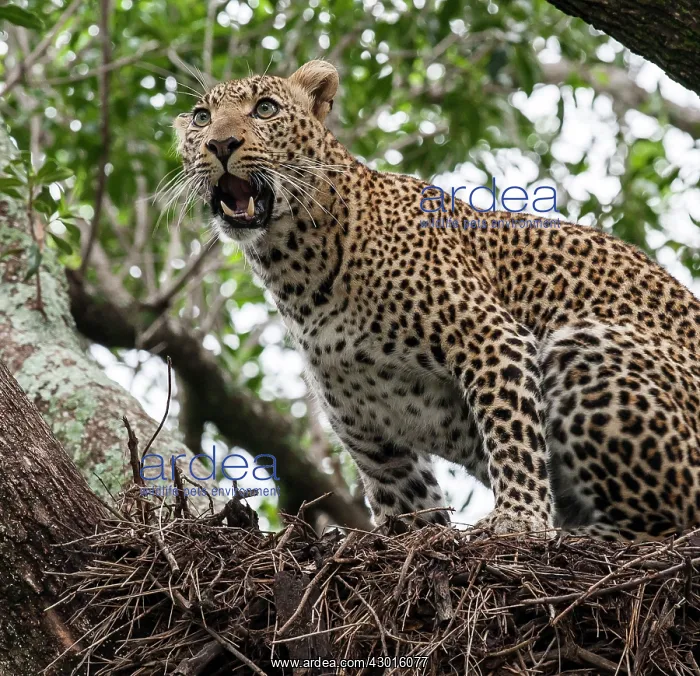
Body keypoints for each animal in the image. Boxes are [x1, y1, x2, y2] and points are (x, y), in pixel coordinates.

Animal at [174, 60, 700, 541]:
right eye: (202, 118)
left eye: (265, 108)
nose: (220, 144)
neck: (297, 274)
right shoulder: (378, 446)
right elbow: (410, 515)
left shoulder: (491, 338)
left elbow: (514, 438)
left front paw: (519, 519)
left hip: (584, 349)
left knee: (664, 524)